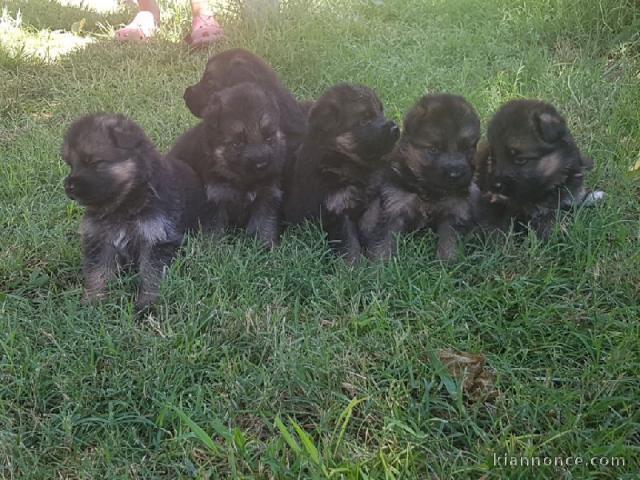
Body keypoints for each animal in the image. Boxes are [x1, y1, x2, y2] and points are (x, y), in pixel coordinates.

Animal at [61, 113, 204, 312]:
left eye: (94, 162)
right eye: (69, 164)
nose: (68, 186)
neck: (125, 202)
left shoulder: (156, 238)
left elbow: (151, 274)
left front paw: (147, 305)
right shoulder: (100, 239)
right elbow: (97, 271)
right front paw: (92, 302)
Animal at [176, 82, 286, 246]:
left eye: (269, 138)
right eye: (237, 143)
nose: (261, 165)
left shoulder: (267, 194)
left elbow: (264, 224)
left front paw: (265, 246)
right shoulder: (215, 198)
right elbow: (214, 229)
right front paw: (212, 247)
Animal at [282, 82, 398, 262]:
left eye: (381, 112)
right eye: (364, 120)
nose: (395, 128)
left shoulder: (374, 199)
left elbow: (371, 226)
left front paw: (378, 258)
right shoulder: (338, 207)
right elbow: (349, 242)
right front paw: (354, 265)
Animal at [364, 92, 480, 260]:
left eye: (467, 148)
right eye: (433, 149)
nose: (455, 174)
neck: (428, 188)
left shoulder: (454, 211)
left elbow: (449, 241)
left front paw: (447, 262)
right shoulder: (395, 206)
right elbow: (384, 238)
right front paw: (380, 263)